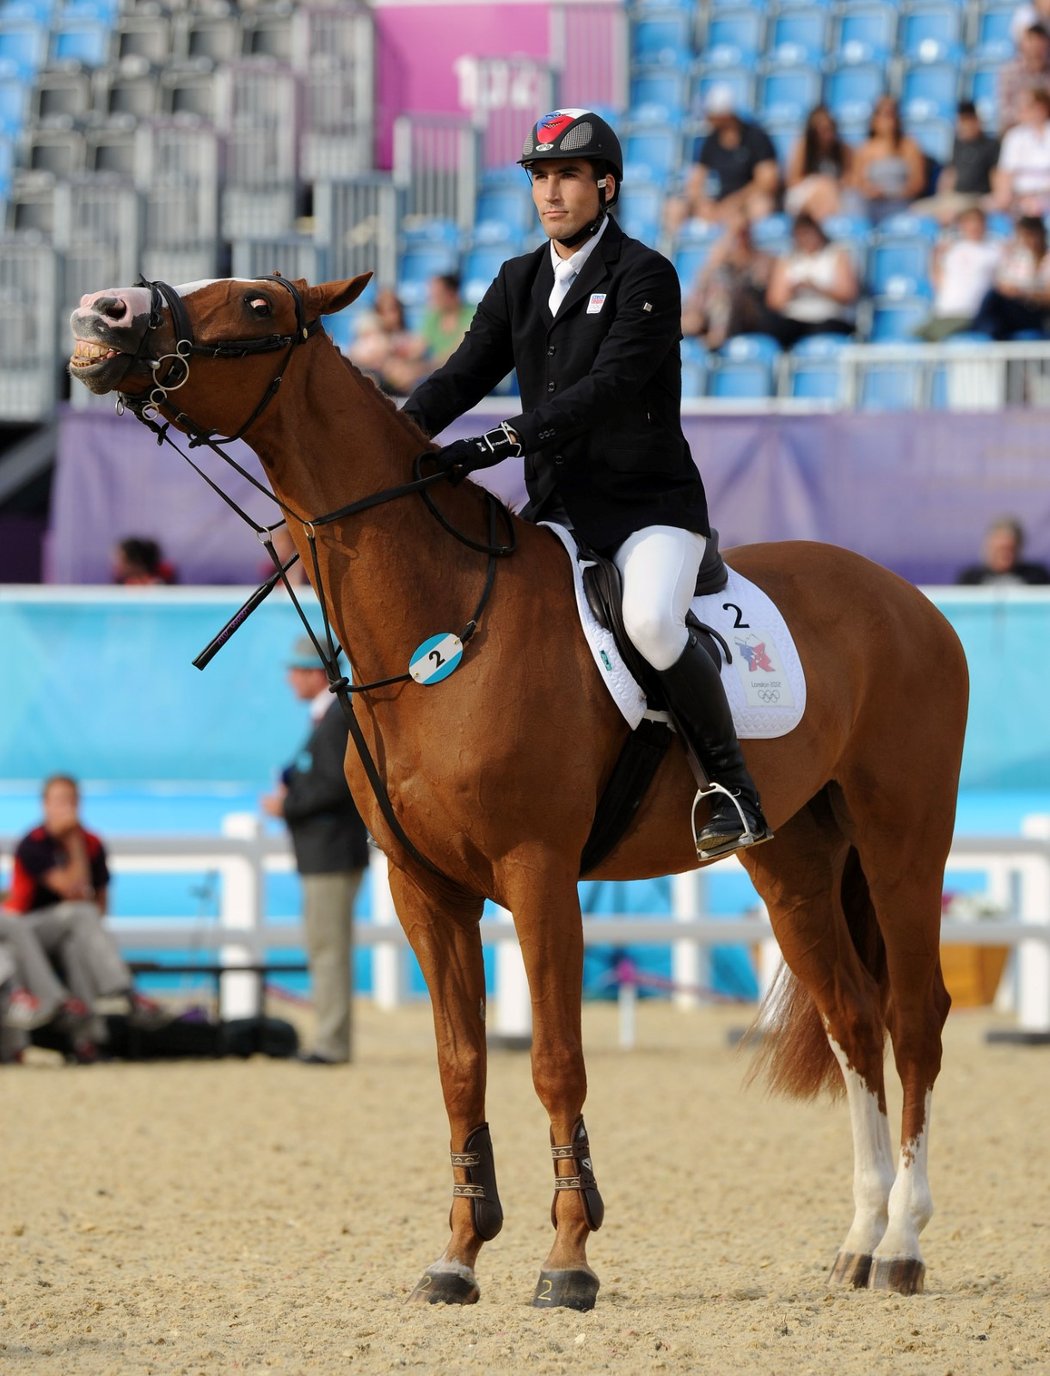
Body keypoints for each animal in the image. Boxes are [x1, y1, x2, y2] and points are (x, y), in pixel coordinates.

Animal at [65, 271, 968, 1309]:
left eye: (257, 305)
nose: (102, 315)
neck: (437, 627)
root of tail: (908, 600)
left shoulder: (538, 875)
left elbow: (554, 1062)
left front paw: (569, 1256)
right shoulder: (425, 890)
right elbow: (460, 1069)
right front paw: (458, 1254)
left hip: (903, 843)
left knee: (914, 1018)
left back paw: (904, 1242)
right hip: (793, 860)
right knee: (852, 1020)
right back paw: (859, 1241)